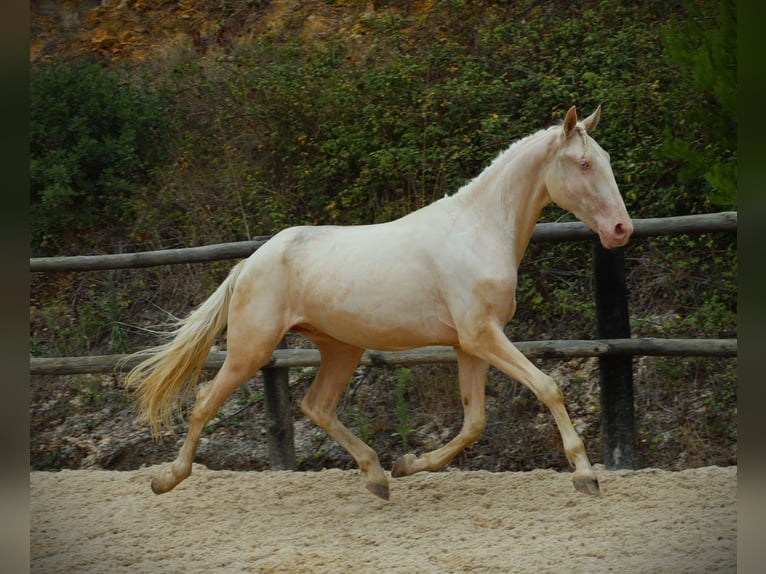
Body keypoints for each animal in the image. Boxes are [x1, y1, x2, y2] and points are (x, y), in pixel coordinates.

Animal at [124, 106, 632, 502]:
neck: (479, 231)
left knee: (316, 406)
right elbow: (548, 387)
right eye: (584, 164)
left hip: (340, 348)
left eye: (604, 160)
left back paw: (377, 477)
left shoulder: (469, 345)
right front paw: (586, 475)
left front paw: (408, 464)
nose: (621, 229)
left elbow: (474, 421)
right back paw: (166, 479)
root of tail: (250, 262)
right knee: (205, 400)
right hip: (252, 348)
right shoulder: (482, 336)